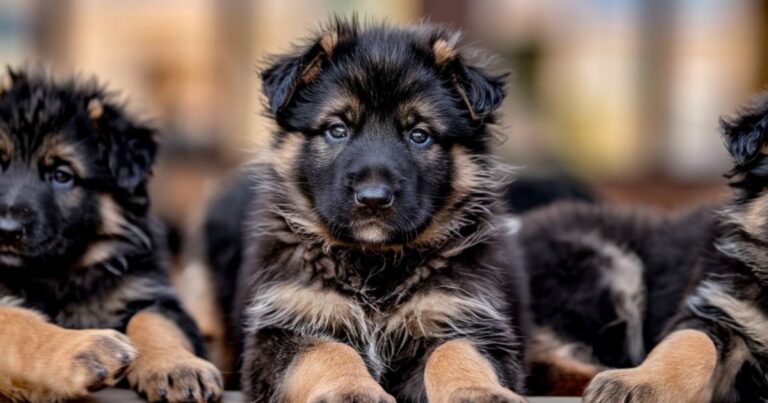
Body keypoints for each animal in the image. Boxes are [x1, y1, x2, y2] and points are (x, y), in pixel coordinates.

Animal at [0, 69, 222, 403]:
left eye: (62, 175)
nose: (6, 229)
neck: (53, 276)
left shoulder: (148, 290)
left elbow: (154, 319)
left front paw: (177, 366)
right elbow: (14, 319)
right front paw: (82, 350)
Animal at [201, 18, 532, 403]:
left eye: (420, 134)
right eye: (337, 129)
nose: (373, 198)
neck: (373, 262)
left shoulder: (465, 314)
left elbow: (457, 351)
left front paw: (476, 391)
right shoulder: (287, 322)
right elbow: (327, 351)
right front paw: (351, 389)